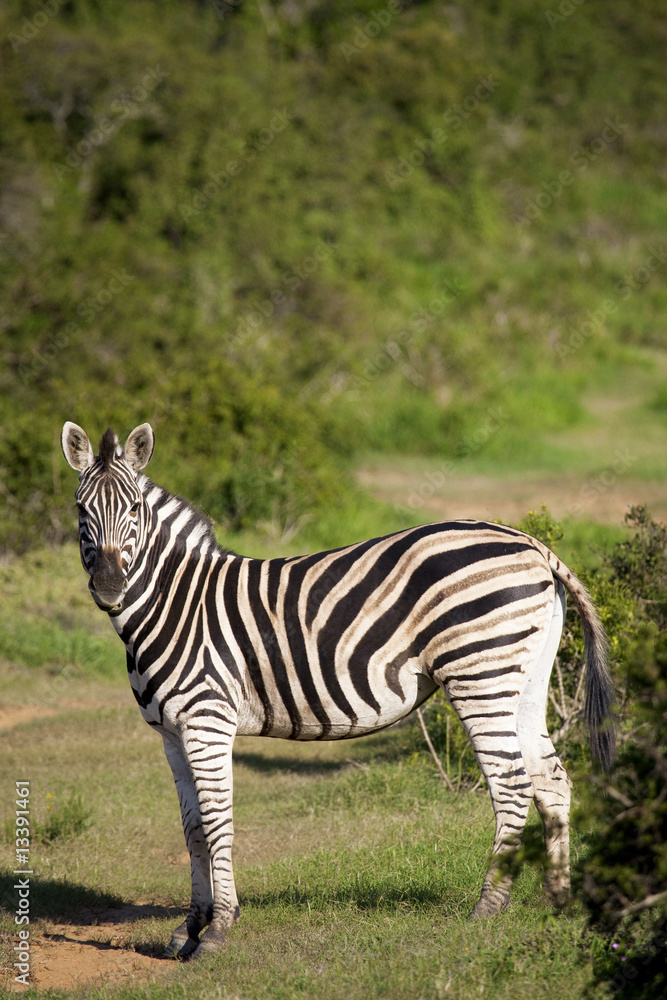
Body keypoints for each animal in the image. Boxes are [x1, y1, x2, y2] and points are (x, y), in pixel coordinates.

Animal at [61, 420, 616, 959]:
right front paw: (189, 927)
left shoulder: (207, 721)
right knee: (552, 779)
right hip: (525, 678)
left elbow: (217, 822)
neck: (176, 602)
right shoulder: (171, 733)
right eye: (81, 509)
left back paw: (488, 908)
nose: (110, 588)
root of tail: (533, 544)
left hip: (480, 673)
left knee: (511, 784)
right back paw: (557, 899)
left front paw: (218, 929)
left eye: (134, 509)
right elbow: (192, 827)